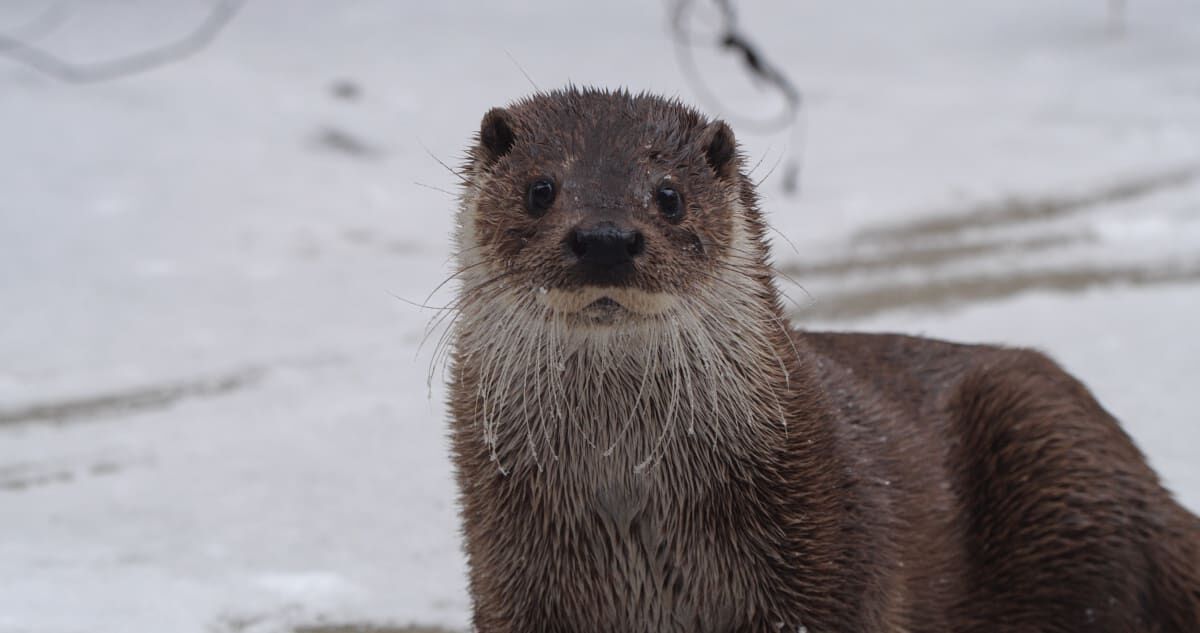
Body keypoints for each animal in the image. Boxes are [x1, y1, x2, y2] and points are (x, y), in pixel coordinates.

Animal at [444, 88, 1200, 633]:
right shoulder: (511, 570)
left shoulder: (824, 551)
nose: (605, 238)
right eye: (541, 188)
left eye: (669, 194)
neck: (626, 486)